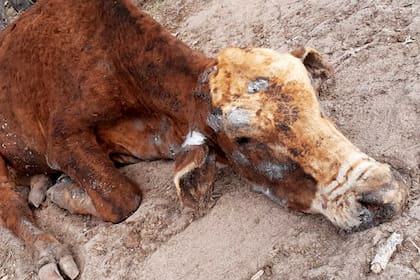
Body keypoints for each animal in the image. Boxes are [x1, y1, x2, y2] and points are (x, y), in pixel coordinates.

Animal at [0, 0, 406, 278]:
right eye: (243, 140)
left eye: (314, 98)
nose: (384, 193)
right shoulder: (62, 139)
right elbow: (122, 198)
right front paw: (64, 192)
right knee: (12, 206)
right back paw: (48, 248)